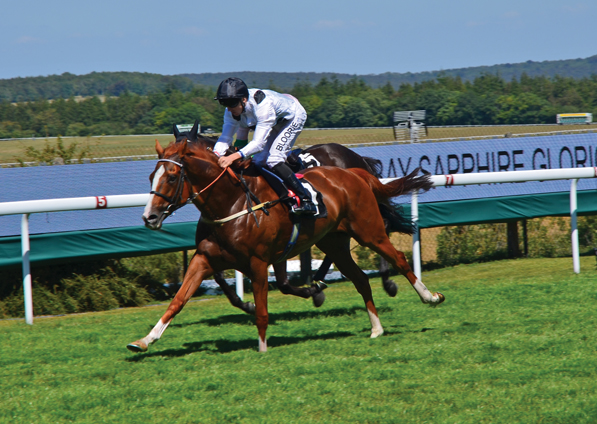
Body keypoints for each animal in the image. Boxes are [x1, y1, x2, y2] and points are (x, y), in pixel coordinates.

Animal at [125, 138, 442, 352]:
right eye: (151, 176)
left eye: (172, 177)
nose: (149, 217)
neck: (231, 203)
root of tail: (353, 172)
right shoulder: (204, 258)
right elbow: (178, 301)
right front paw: (145, 340)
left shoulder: (258, 262)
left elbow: (263, 310)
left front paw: (262, 347)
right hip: (334, 243)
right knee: (360, 279)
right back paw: (375, 328)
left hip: (369, 231)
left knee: (398, 257)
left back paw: (429, 296)